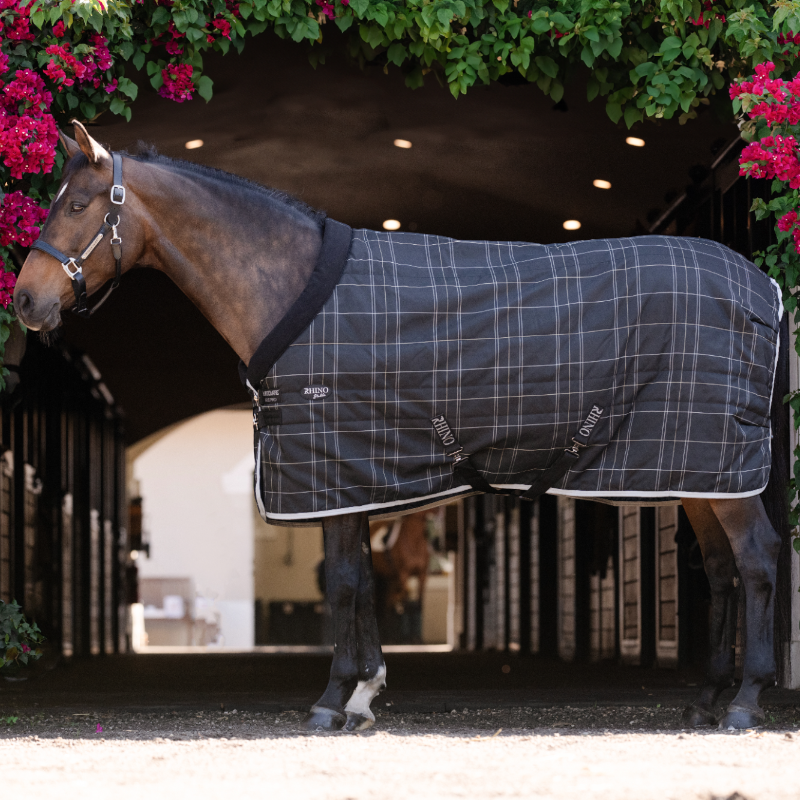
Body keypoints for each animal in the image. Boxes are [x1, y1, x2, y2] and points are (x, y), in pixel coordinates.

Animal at [13, 122, 789, 733]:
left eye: (77, 205)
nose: (24, 300)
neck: (290, 286)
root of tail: (763, 289)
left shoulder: (331, 468)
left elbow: (345, 582)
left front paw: (333, 700)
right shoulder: (354, 474)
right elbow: (358, 580)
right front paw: (365, 692)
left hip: (720, 471)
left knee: (756, 561)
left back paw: (745, 702)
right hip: (699, 475)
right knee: (722, 572)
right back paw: (704, 700)